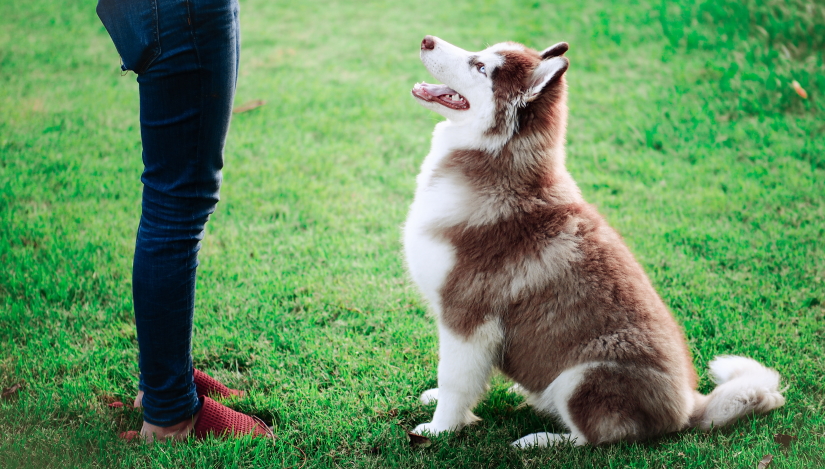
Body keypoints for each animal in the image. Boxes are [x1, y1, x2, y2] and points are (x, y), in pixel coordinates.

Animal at [402, 35, 784, 446]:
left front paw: (440, 429)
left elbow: (455, 380)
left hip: (583, 377)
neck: (497, 167)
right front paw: (439, 404)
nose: (427, 40)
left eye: (481, 67)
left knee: (592, 439)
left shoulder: (467, 318)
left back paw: (540, 441)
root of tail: (686, 408)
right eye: (481, 53)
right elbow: (455, 377)